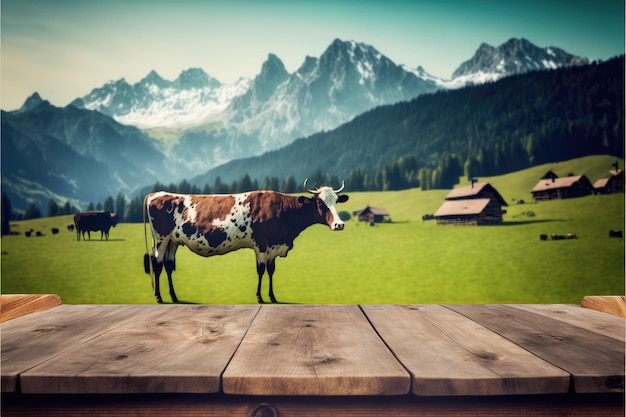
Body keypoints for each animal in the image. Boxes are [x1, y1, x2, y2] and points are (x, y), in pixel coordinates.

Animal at [144, 179, 348, 302]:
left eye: (337, 201)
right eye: (320, 203)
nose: (339, 224)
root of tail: (156, 194)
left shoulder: (274, 246)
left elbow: (271, 270)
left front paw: (272, 297)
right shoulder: (261, 244)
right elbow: (261, 270)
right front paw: (259, 297)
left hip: (172, 241)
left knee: (168, 266)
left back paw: (174, 296)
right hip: (161, 239)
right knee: (157, 264)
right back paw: (159, 297)